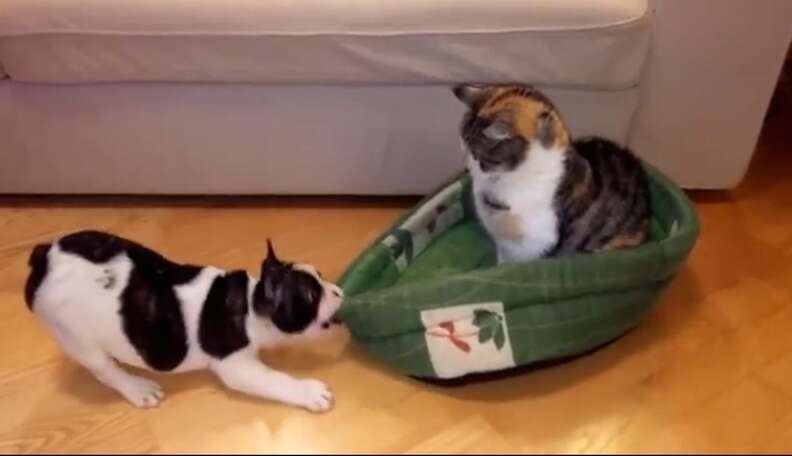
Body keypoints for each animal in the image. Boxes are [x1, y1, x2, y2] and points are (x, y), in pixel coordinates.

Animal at [22, 230, 340, 412]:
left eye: (321, 275)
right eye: (312, 296)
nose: (338, 291)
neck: (250, 304)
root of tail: (44, 260)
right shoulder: (237, 367)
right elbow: (276, 380)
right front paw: (310, 392)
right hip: (71, 333)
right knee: (103, 369)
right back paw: (138, 389)